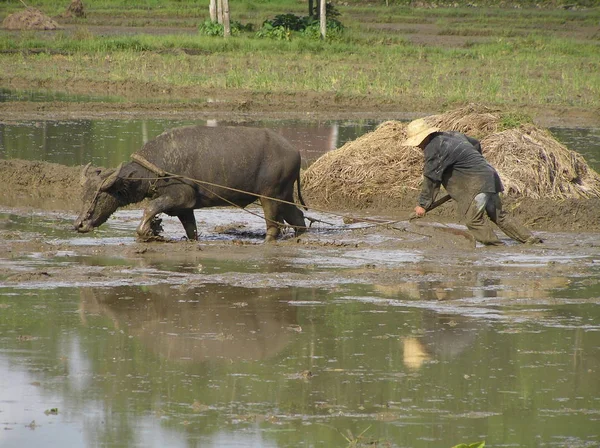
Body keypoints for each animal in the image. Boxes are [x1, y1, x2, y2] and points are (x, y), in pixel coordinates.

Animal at [74, 124, 308, 242]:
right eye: (84, 194)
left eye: (100, 195)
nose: (79, 224)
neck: (156, 169)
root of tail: (294, 151)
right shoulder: (184, 208)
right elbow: (191, 231)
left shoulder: (180, 196)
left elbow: (150, 207)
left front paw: (148, 231)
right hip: (284, 195)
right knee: (297, 217)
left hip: (270, 195)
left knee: (274, 226)